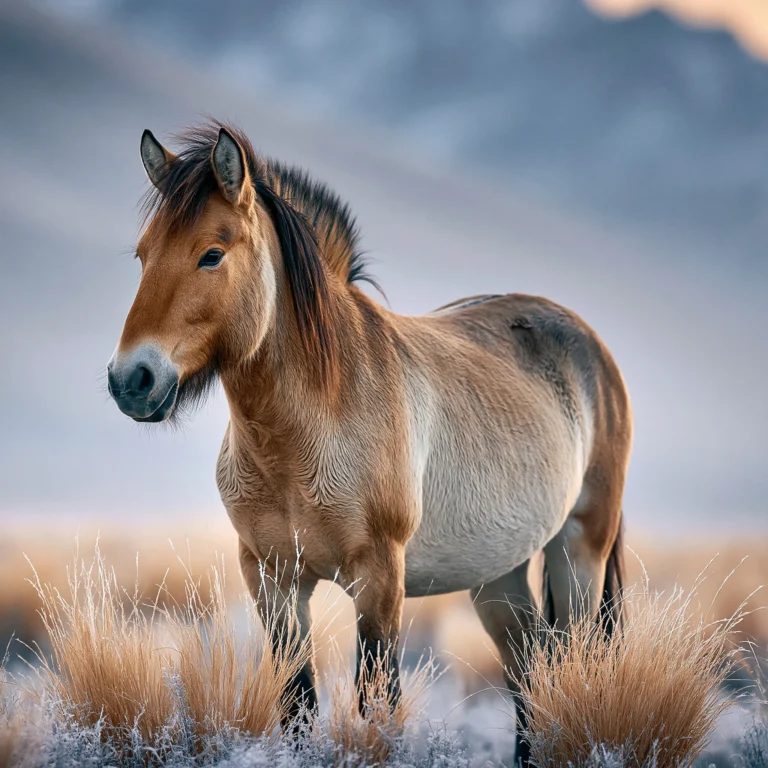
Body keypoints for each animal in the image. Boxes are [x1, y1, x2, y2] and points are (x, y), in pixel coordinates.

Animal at [107, 121, 632, 765]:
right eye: (143, 255)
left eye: (212, 254)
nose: (131, 380)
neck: (305, 434)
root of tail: (591, 347)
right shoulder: (271, 579)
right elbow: (298, 705)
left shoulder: (379, 581)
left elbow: (377, 703)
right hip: (498, 575)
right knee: (531, 669)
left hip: (579, 553)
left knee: (571, 661)